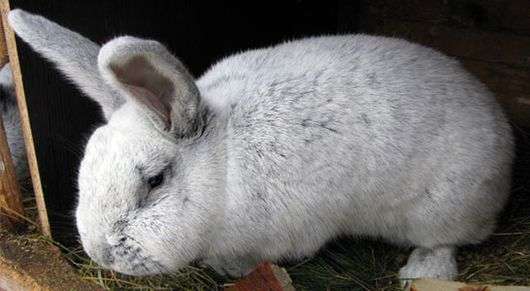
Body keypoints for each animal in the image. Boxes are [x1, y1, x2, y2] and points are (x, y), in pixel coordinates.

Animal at [8, 8, 512, 282]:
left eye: (155, 181)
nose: (99, 253)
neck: (224, 166)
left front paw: (232, 270)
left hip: (442, 208)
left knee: (446, 243)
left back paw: (421, 272)